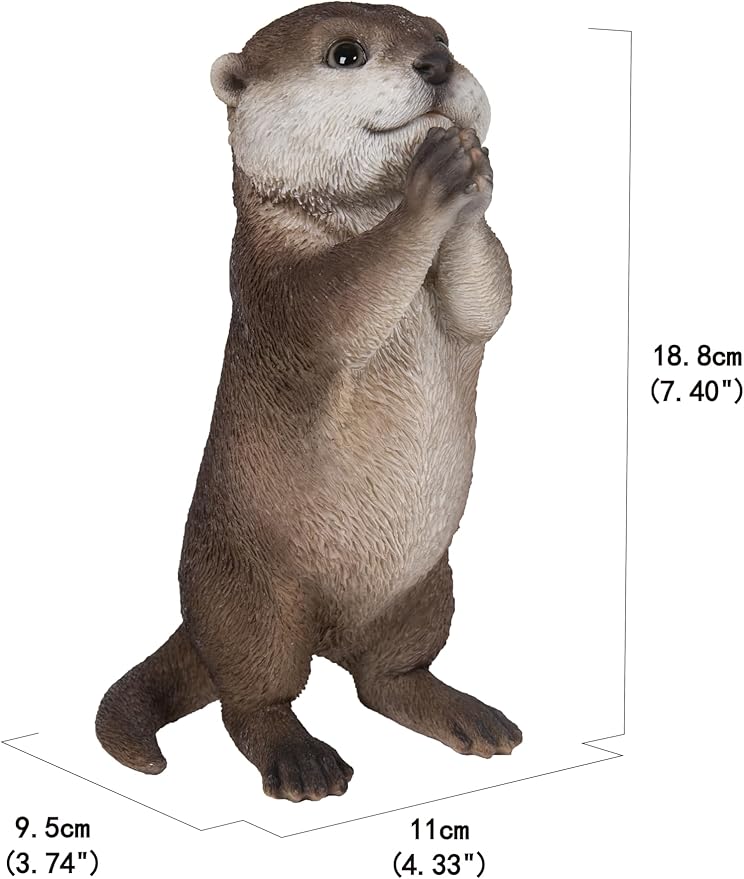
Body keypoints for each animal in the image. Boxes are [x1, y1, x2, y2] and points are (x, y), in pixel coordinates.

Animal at [95, 1, 521, 802]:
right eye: (346, 53)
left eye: (441, 33)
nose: (438, 64)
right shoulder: (276, 284)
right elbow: (347, 297)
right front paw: (435, 180)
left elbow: (488, 299)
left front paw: (473, 164)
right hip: (252, 596)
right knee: (252, 694)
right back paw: (301, 761)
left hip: (425, 590)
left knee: (384, 677)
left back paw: (467, 717)